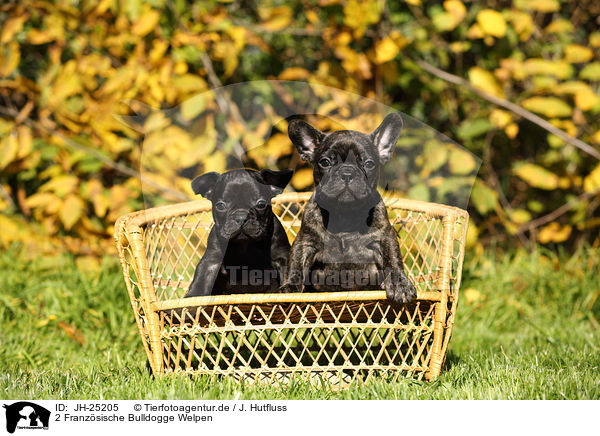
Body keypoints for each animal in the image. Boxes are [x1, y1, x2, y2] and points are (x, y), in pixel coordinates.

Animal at [185, 167, 292, 296]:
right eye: (220, 206)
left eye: (261, 204)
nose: (241, 217)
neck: (244, 244)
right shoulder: (211, 260)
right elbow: (202, 276)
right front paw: (193, 295)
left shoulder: (282, 256)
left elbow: (288, 271)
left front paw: (288, 288)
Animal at [282, 112, 418, 304]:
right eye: (325, 162)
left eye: (369, 164)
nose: (347, 172)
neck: (345, 214)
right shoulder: (305, 240)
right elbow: (296, 262)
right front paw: (290, 287)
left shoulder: (385, 237)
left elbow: (393, 259)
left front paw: (400, 285)